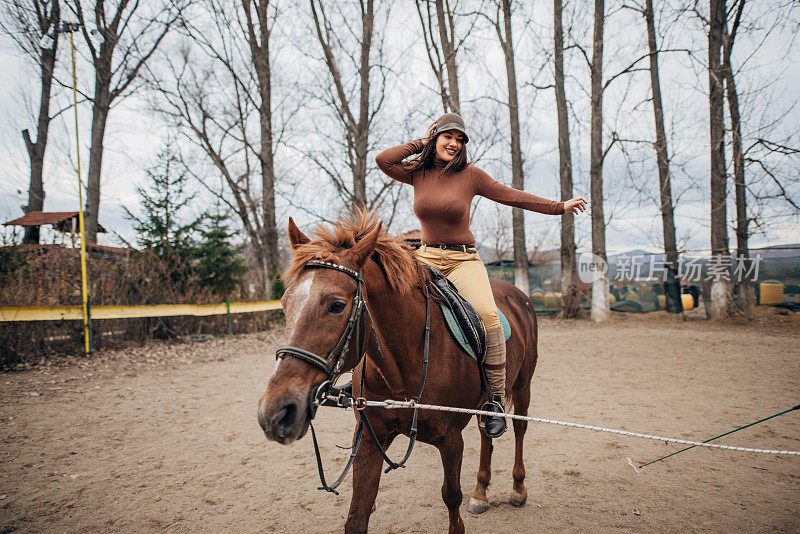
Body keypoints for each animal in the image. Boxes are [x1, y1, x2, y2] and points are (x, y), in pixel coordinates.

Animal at [260, 214, 540, 534]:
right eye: (285, 303)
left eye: (337, 305)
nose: (276, 412)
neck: (402, 372)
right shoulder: (370, 438)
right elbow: (358, 514)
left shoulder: (451, 439)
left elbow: (451, 498)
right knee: (487, 433)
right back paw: (480, 494)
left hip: (523, 385)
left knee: (519, 428)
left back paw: (518, 489)